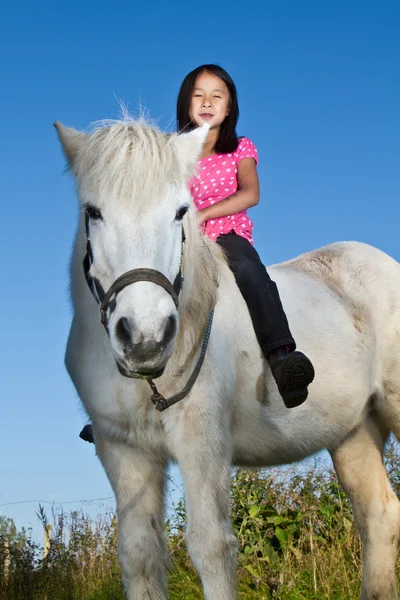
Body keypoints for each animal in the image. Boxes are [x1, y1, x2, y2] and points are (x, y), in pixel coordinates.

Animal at [54, 118, 400, 600]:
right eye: (94, 211)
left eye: (180, 211)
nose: (146, 339)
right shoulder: (123, 450)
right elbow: (139, 556)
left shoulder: (204, 442)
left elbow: (211, 546)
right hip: (355, 432)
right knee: (379, 515)